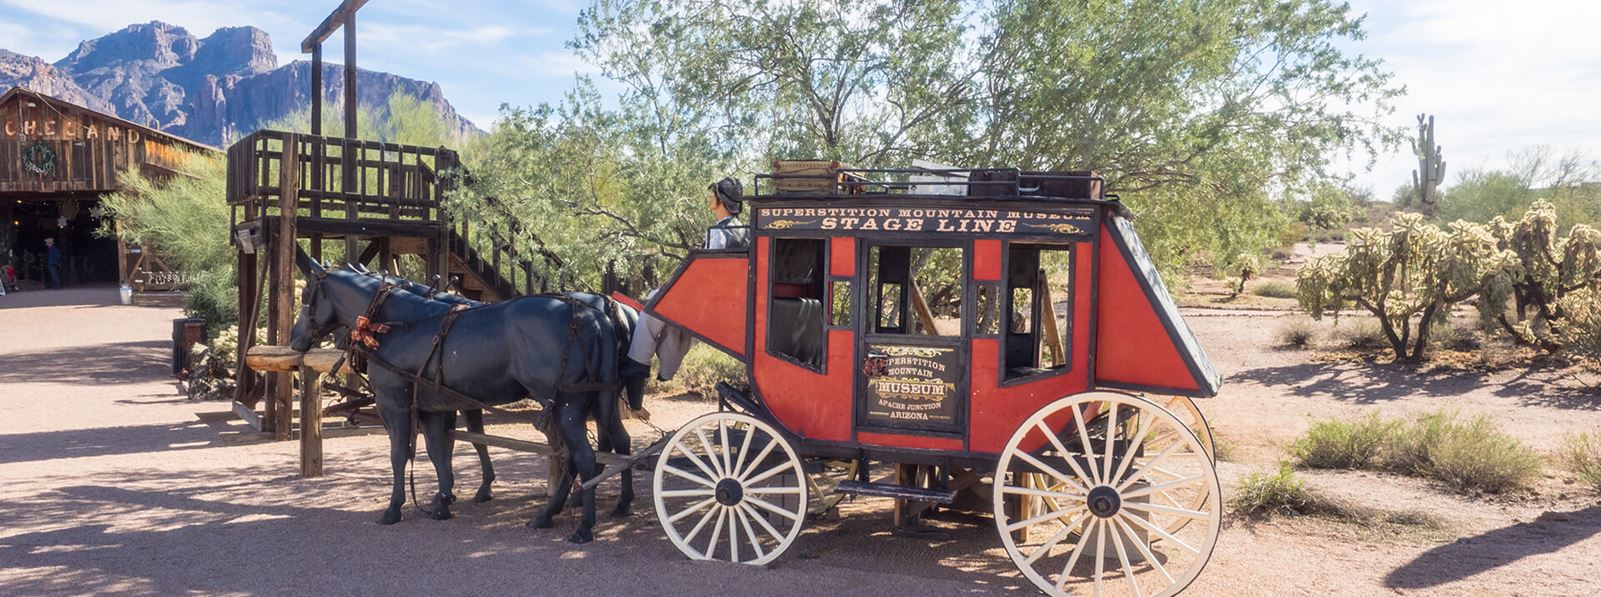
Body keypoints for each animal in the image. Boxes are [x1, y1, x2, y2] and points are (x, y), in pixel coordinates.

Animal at [291, 257, 627, 540]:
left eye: (307, 294)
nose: (295, 339)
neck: (400, 324)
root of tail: (593, 315)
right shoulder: (433, 406)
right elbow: (439, 451)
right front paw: (442, 501)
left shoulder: (394, 405)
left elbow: (400, 455)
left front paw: (394, 507)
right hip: (587, 404)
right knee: (599, 448)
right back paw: (557, 512)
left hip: (565, 407)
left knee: (583, 457)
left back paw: (583, 525)